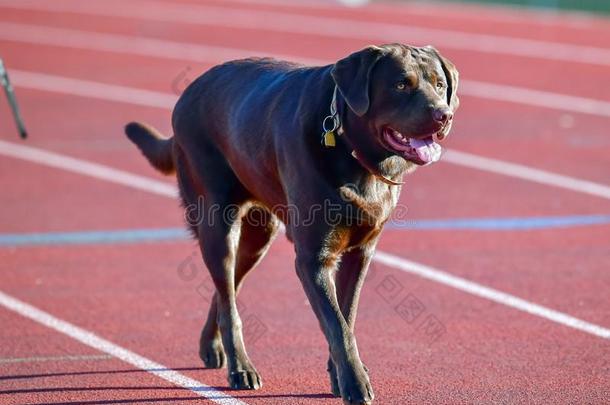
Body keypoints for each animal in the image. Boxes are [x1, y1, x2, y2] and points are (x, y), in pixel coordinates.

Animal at [127, 44, 456, 404]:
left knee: (227, 287)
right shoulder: (313, 259)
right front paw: (355, 384)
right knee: (228, 296)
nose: (444, 115)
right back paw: (241, 367)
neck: (352, 152)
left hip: (259, 235)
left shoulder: (360, 252)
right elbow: (338, 326)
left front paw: (340, 375)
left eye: (440, 85)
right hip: (216, 219)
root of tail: (190, 90)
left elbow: (346, 315)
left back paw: (210, 345)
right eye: (401, 84)